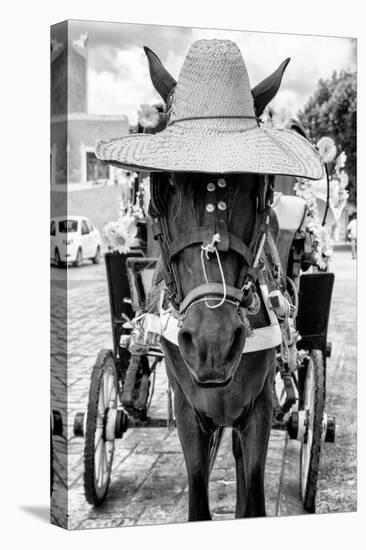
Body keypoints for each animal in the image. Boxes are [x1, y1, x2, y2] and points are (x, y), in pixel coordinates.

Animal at [142, 44, 290, 520]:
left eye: (258, 187)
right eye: (162, 186)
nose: (213, 342)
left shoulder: (259, 408)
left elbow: (253, 499)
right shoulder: (189, 412)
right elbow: (198, 498)